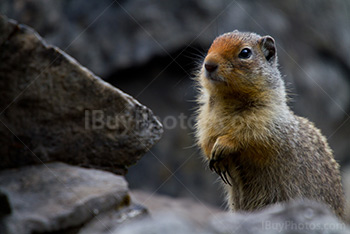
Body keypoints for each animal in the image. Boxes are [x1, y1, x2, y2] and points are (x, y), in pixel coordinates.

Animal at [196, 30, 346, 218]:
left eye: (245, 53)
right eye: (212, 45)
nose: (208, 64)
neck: (228, 101)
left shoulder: (268, 120)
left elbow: (251, 136)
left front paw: (223, 145)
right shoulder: (206, 120)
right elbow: (206, 138)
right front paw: (214, 155)